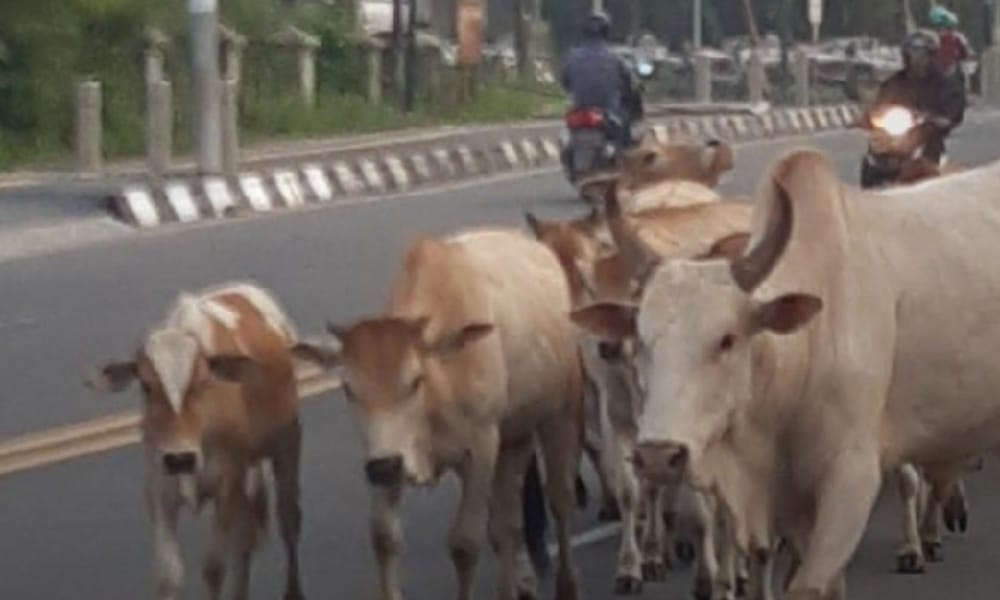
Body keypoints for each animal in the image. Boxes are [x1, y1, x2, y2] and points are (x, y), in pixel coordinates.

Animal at [86, 282, 304, 600]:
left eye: (203, 381)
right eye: (146, 386)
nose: (180, 458)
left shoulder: (228, 482)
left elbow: (213, 568)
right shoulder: (160, 488)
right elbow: (168, 574)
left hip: (287, 444)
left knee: (288, 519)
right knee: (246, 537)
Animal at [292, 227, 584, 600]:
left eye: (416, 380)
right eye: (348, 388)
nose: (385, 466)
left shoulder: (480, 448)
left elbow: (465, 543)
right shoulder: (384, 454)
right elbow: (384, 537)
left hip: (559, 415)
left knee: (559, 500)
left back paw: (567, 585)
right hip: (513, 440)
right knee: (508, 524)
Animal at [580, 146, 1000, 600]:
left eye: (728, 339)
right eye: (640, 338)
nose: (659, 455)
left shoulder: (850, 481)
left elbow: (809, 586)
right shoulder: (782, 503)